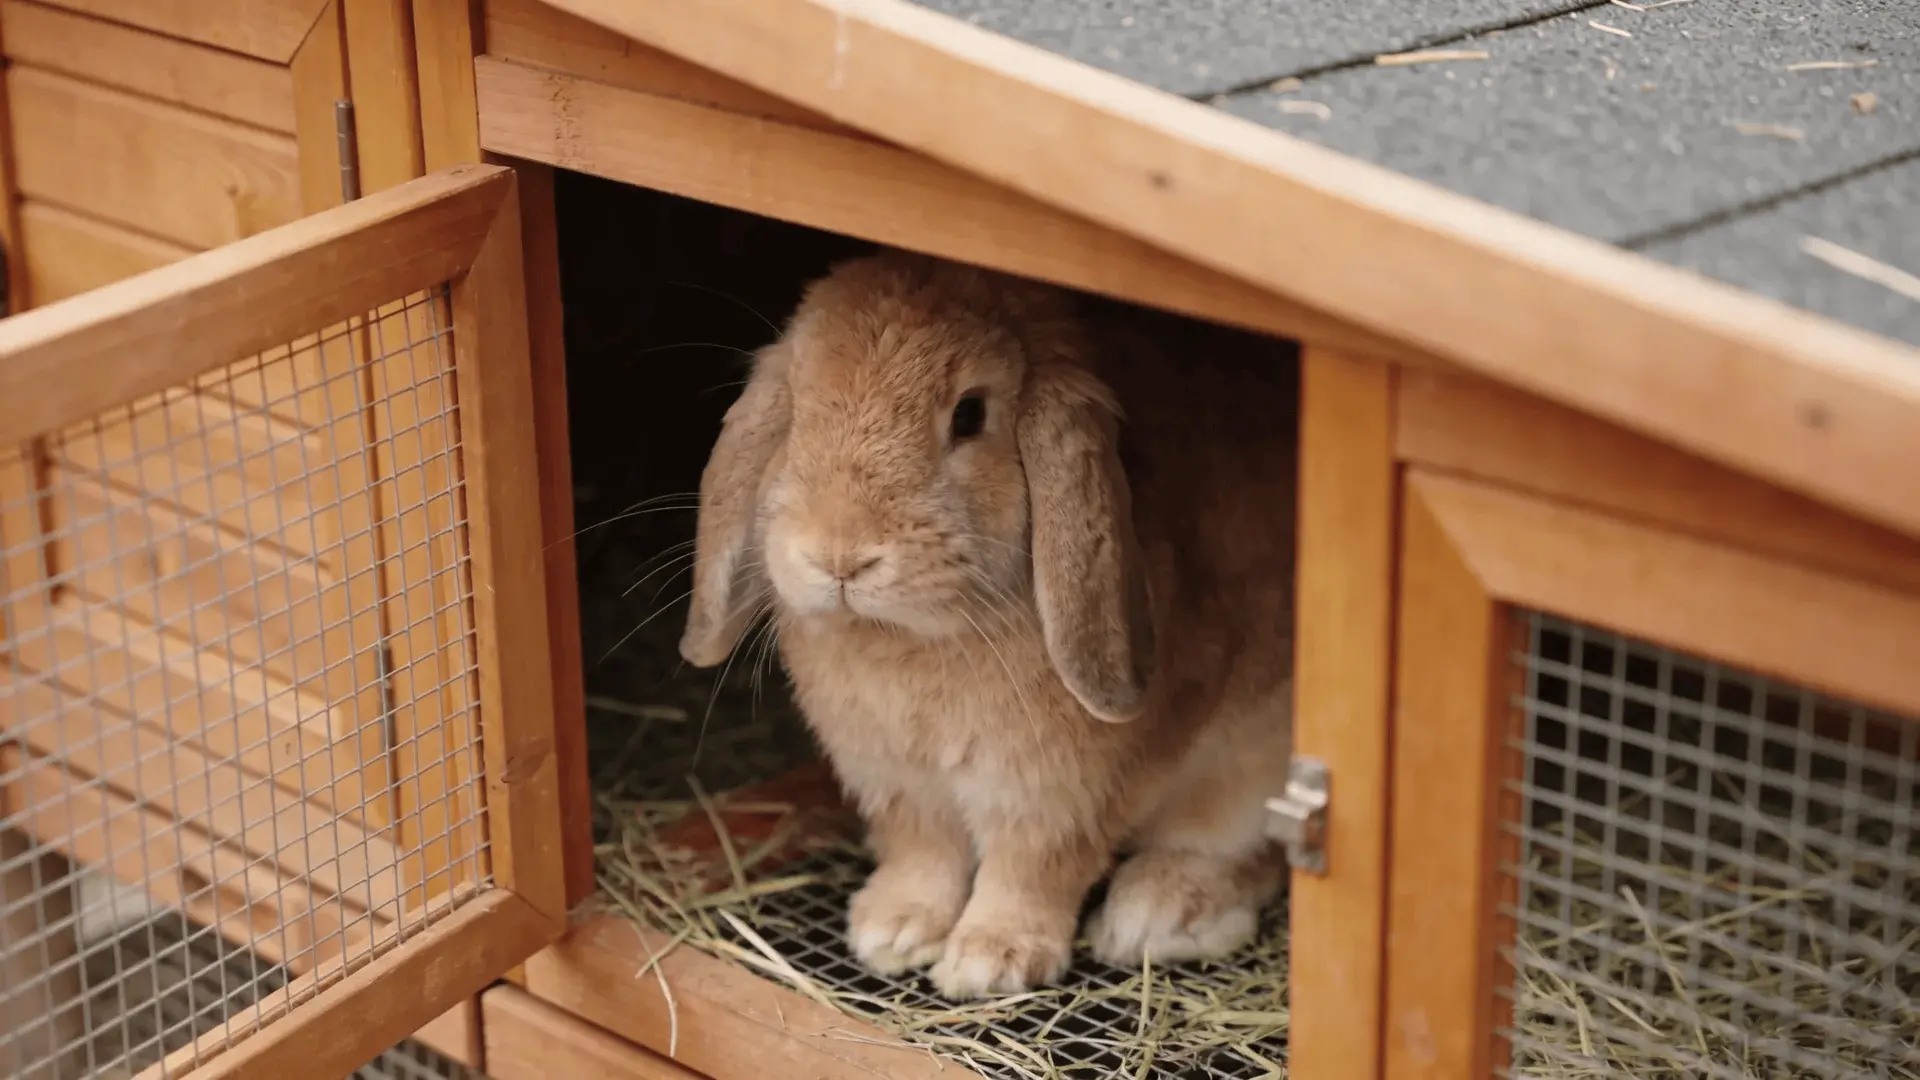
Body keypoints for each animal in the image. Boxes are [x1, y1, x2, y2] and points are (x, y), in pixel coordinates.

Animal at [679, 250, 1298, 999]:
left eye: (970, 415)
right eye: (797, 405)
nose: (838, 556)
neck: (907, 639)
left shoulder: (1056, 794)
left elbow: (1032, 867)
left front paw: (989, 961)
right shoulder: (897, 784)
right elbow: (924, 851)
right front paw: (892, 930)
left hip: (1255, 764)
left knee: (1251, 852)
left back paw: (1159, 913)